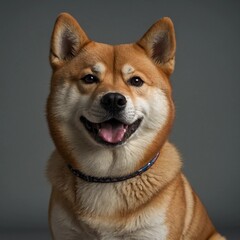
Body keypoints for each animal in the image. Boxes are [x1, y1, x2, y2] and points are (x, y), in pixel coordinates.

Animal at [46, 13, 225, 240]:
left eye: (136, 81)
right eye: (89, 78)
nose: (114, 100)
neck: (108, 177)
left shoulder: (151, 232)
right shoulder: (66, 232)